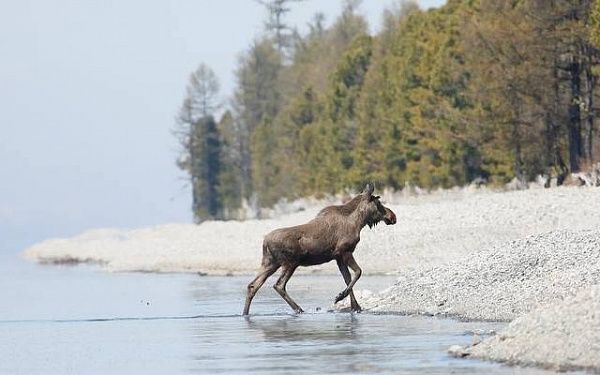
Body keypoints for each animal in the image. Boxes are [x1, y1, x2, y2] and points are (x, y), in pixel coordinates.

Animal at [241, 184, 396, 316]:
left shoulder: (338, 257)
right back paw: (299, 309)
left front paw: (355, 307)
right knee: (278, 285)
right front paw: (340, 297)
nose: (392, 216)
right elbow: (358, 272)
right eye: (379, 203)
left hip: (270, 263)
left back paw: (245, 313)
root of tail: (265, 242)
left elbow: (348, 279)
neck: (359, 222)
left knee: (253, 285)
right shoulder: (344, 251)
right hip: (290, 263)